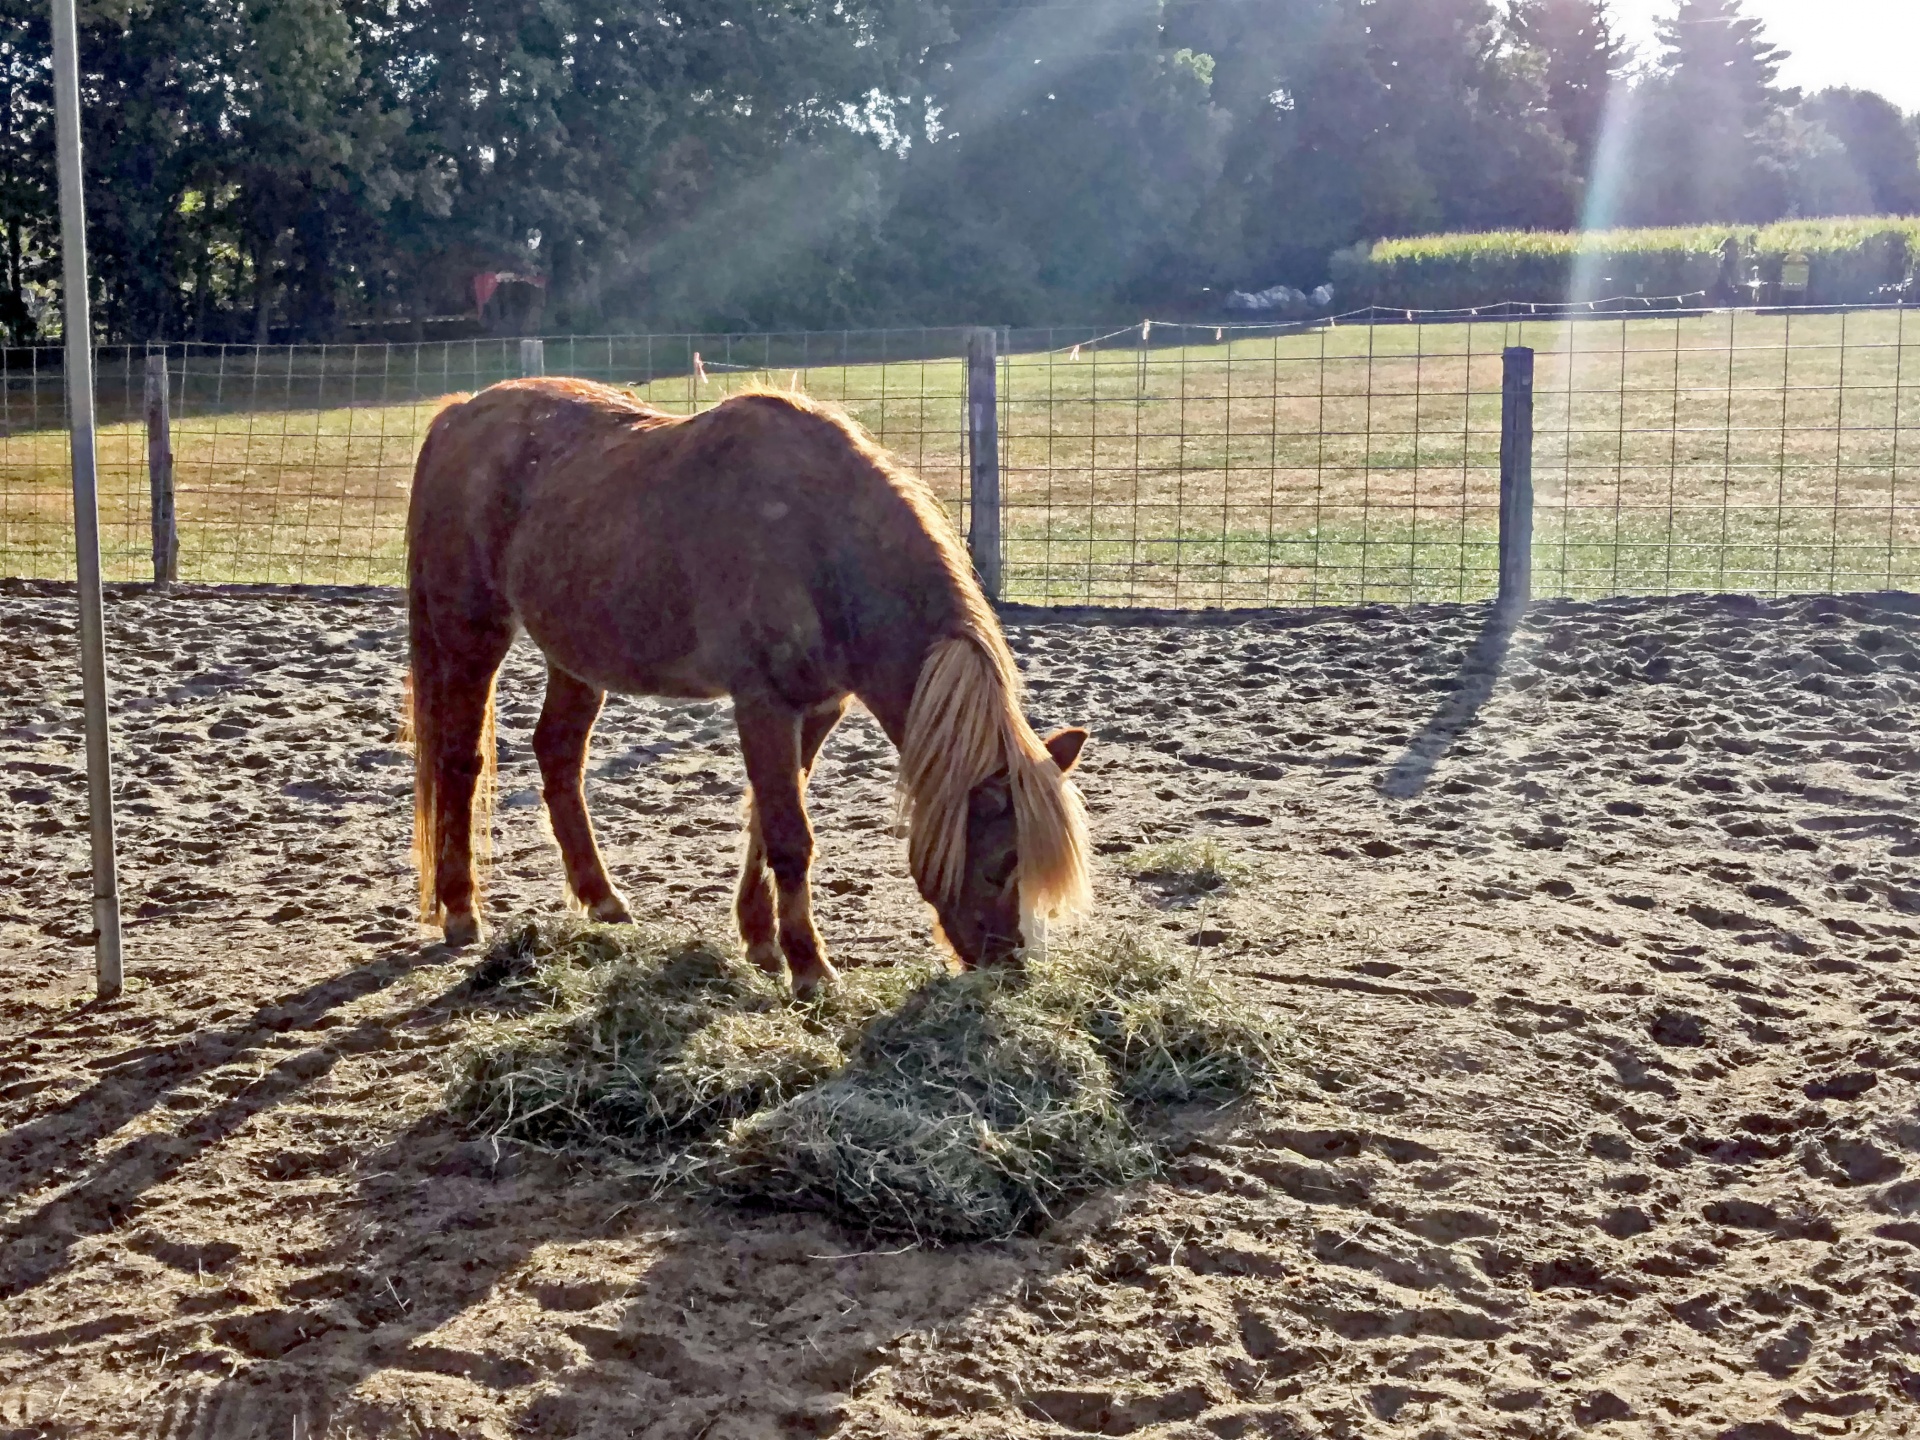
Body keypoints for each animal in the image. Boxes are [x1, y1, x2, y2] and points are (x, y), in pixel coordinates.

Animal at [401, 378, 1098, 998]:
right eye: (1001, 864)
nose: (1009, 968)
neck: (820, 542)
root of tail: (459, 413)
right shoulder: (763, 705)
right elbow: (790, 835)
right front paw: (810, 969)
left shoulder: (815, 710)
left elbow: (767, 821)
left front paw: (762, 942)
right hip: (472, 638)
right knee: (460, 761)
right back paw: (461, 911)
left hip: (576, 657)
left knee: (559, 757)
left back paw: (602, 900)